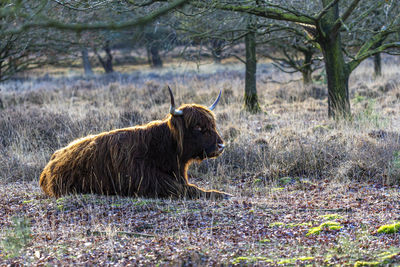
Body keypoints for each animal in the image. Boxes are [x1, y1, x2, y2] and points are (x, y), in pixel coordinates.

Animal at [39, 87, 231, 200]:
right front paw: (222, 194)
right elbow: (187, 189)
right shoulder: (148, 182)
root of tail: (51, 162)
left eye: (212, 125)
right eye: (197, 127)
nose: (221, 146)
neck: (162, 149)